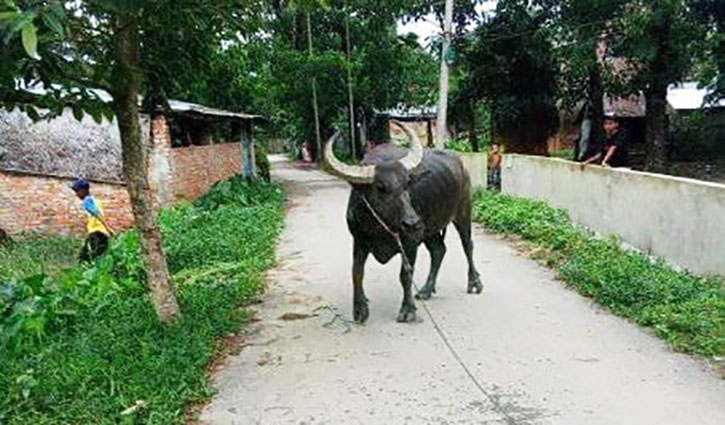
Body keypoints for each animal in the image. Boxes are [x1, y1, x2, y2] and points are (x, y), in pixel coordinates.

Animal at [326, 121, 484, 322]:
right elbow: (356, 272)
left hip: (463, 212)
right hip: (430, 229)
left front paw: (408, 309)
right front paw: (360, 309)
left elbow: (405, 275)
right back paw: (426, 290)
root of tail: (461, 165)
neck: (379, 226)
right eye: (380, 188)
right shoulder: (359, 240)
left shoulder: (410, 241)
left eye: (407, 184)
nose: (412, 223)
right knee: (439, 250)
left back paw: (474, 283)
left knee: (467, 245)